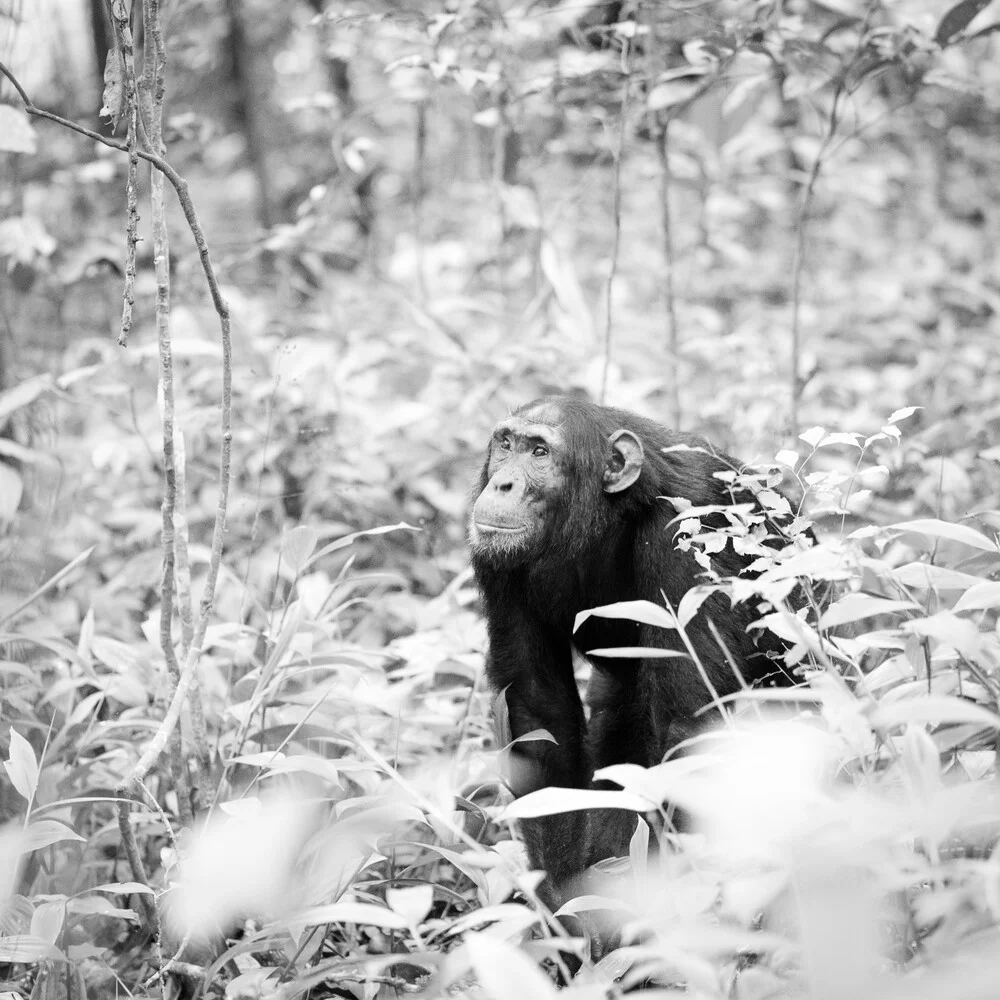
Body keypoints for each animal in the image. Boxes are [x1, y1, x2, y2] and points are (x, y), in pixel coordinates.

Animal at [468, 394, 804, 904]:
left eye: (540, 453)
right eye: (506, 444)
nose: (502, 482)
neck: (607, 516)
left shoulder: (691, 534)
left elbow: (689, 727)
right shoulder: (497, 560)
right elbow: (540, 715)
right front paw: (566, 907)